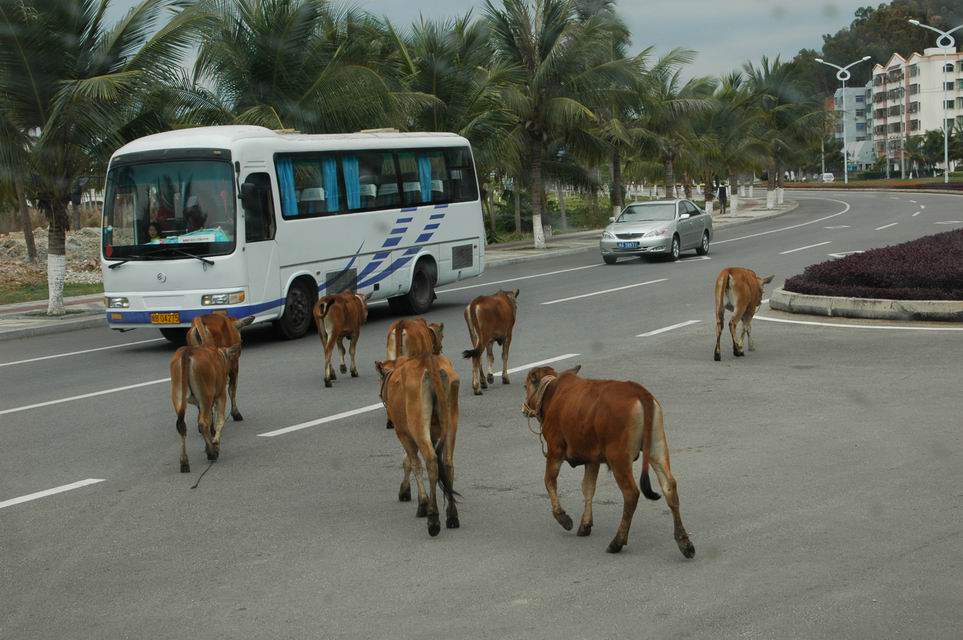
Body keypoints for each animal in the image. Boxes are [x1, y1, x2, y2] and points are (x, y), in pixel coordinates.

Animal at [169, 342, 240, 472]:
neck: (220, 355)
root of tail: (187, 351)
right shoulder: (220, 395)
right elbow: (220, 420)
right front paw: (215, 443)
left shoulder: (199, 404)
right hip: (205, 396)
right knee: (203, 423)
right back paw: (212, 453)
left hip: (177, 395)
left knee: (182, 426)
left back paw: (184, 462)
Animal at [374, 356, 462, 536]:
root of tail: (432, 365)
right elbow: (409, 460)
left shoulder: (403, 433)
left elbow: (412, 463)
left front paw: (420, 501)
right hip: (451, 423)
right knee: (448, 464)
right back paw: (452, 515)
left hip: (418, 425)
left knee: (431, 463)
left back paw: (433, 518)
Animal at [524, 364, 696, 560]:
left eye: (525, 385)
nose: (524, 408)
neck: (553, 391)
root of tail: (638, 390)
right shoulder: (592, 460)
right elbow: (588, 488)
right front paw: (585, 524)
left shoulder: (555, 450)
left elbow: (549, 481)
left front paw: (564, 518)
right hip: (657, 448)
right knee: (669, 486)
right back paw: (684, 542)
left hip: (619, 459)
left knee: (631, 494)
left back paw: (617, 542)